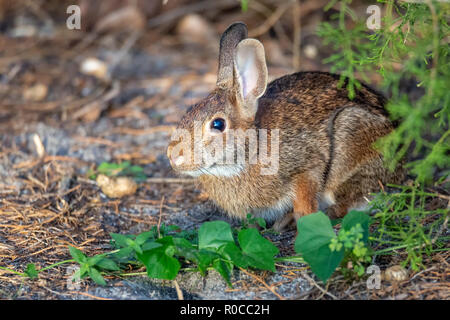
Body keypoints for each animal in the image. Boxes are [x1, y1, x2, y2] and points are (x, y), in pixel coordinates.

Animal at [166, 22, 404, 231]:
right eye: (189, 110)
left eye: (218, 124)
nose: (172, 156)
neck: (250, 149)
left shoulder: (307, 169)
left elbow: (305, 205)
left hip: (349, 138)